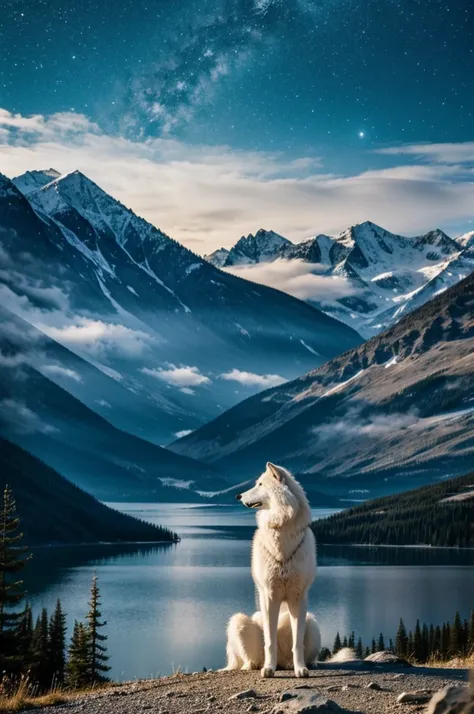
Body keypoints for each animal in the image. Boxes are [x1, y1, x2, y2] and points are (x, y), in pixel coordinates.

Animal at [227, 458, 316, 676]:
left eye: (260, 484)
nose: (238, 495)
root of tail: (283, 663)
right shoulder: (269, 596)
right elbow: (269, 641)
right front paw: (268, 668)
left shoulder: (298, 598)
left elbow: (297, 643)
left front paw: (301, 669)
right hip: (238, 621)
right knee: (250, 660)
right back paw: (261, 665)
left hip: (312, 621)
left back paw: (297, 665)